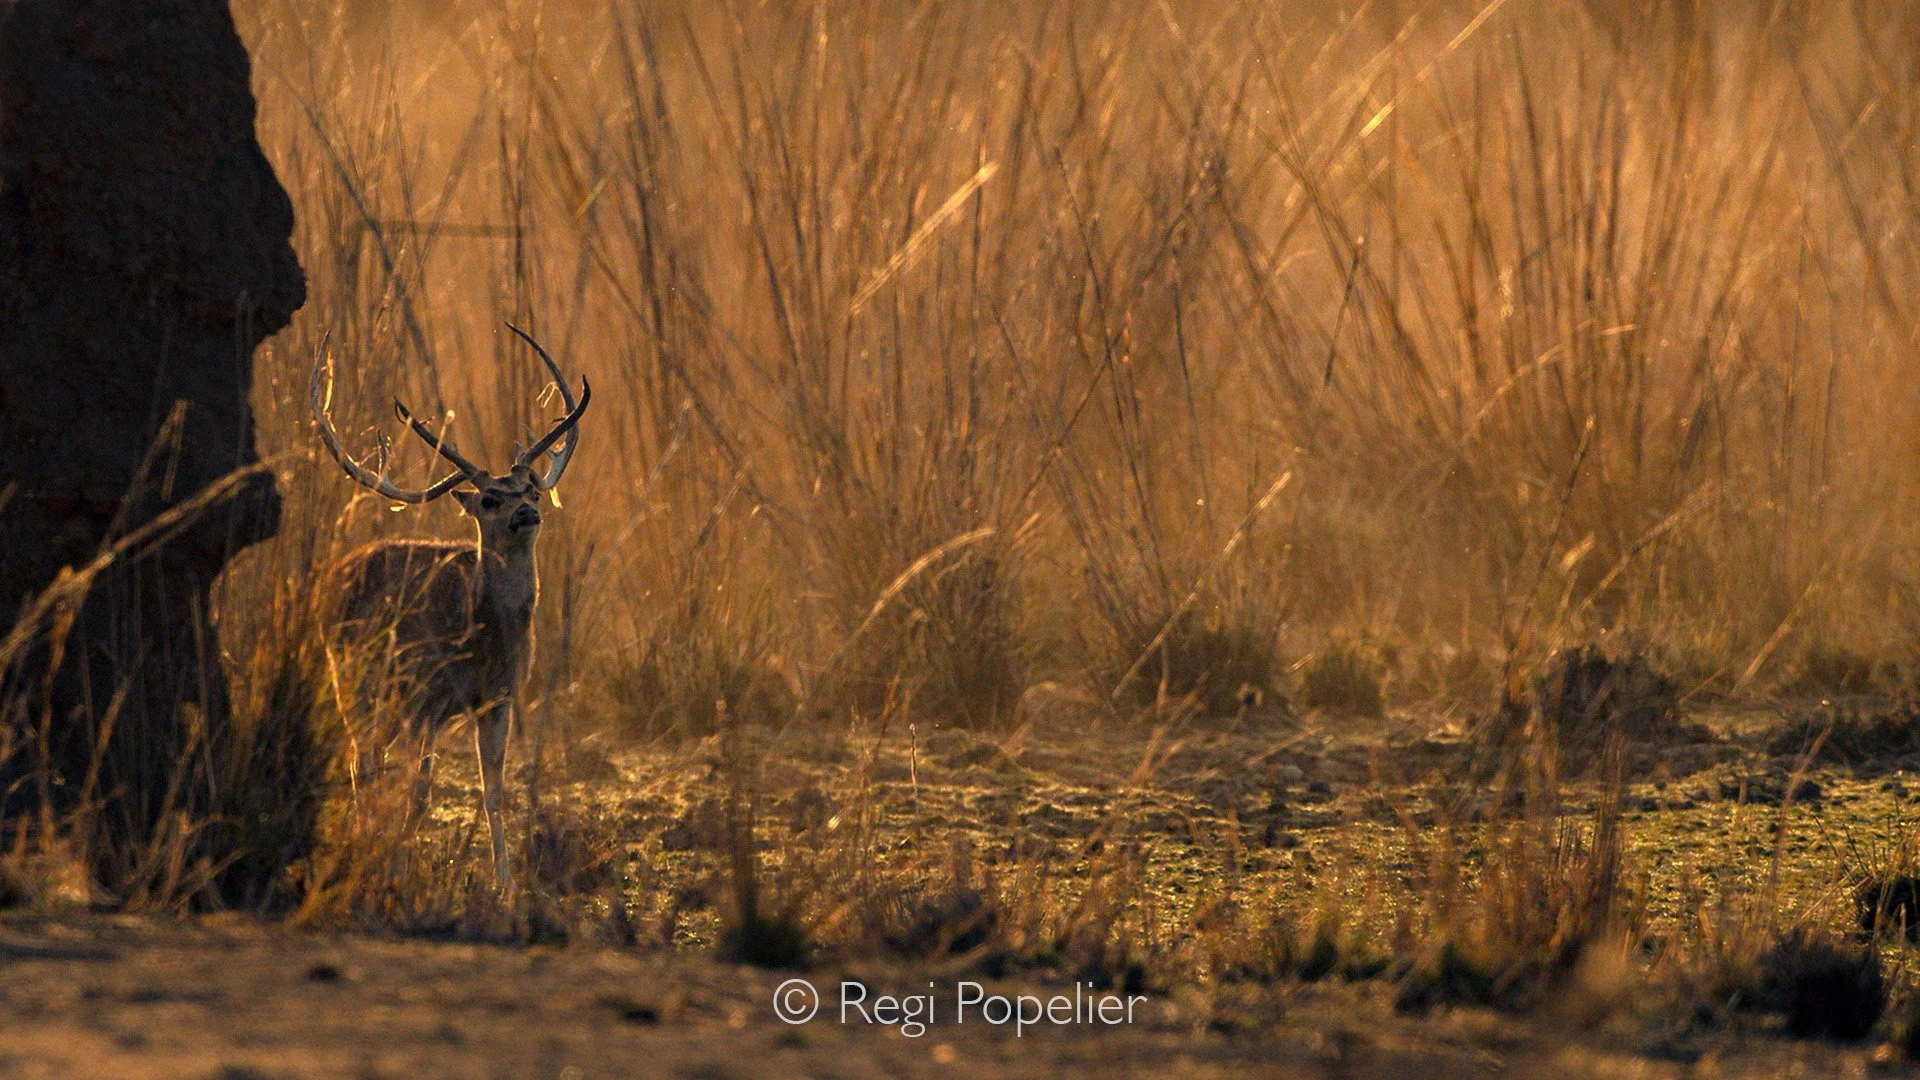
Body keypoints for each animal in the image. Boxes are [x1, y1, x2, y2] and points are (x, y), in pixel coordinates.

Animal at [309, 324, 590, 889]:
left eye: (530, 489)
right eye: (489, 500)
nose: (527, 512)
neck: (483, 641)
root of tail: (332, 576)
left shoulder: (501, 697)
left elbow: (493, 792)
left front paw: (506, 884)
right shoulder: (427, 697)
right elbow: (420, 795)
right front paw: (400, 874)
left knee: (369, 762)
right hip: (353, 678)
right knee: (360, 763)